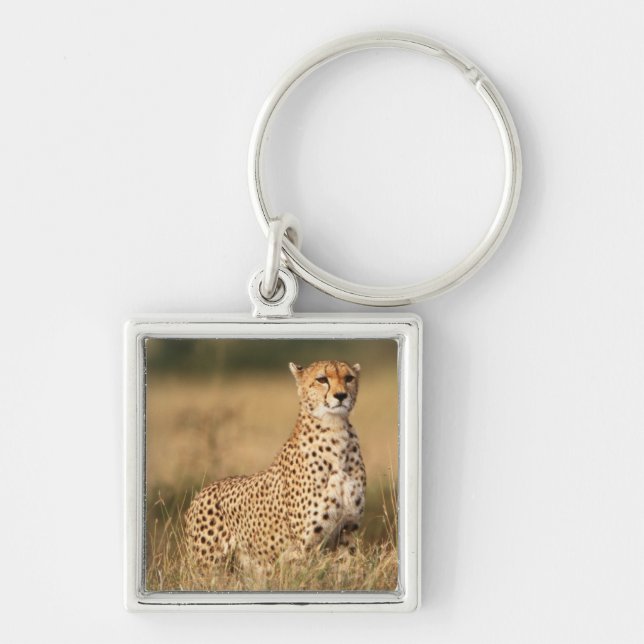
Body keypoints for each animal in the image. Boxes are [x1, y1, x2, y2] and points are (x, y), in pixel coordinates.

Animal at [184, 360, 366, 570]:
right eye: (322, 379)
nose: (341, 395)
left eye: (349, 378)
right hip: (209, 565)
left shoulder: (347, 531)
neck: (336, 432)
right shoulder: (306, 545)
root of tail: (202, 491)